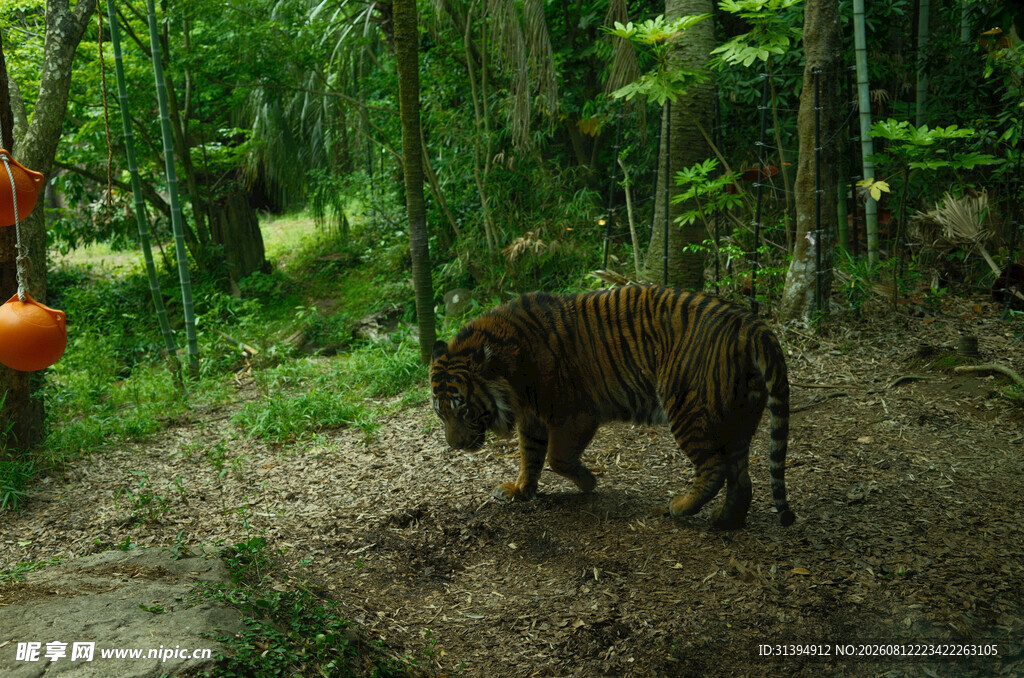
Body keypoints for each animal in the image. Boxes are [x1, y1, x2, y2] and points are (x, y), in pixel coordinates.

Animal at [429, 284, 795, 529]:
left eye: (463, 409)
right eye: (439, 411)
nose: (455, 446)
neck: (509, 372)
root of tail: (750, 323)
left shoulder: (574, 414)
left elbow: (556, 457)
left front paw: (588, 482)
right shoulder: (532, 418)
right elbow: (530, 456)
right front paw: (520, 490)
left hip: (686, 406)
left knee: (714, 468)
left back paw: (680, 507)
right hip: (739, 417)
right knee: (741, 477)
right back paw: (725, 520)